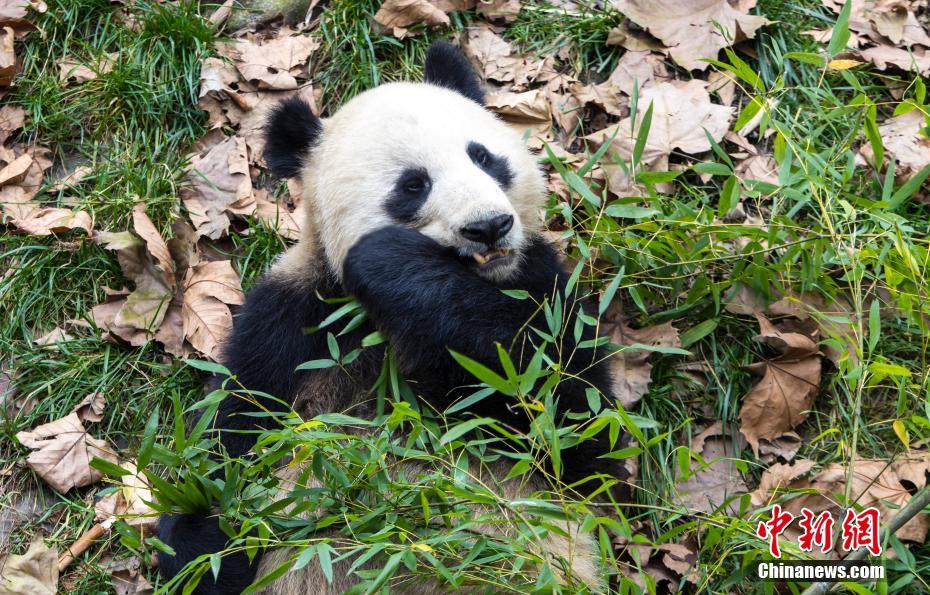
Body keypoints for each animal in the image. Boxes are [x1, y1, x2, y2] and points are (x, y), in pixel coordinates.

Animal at [160, 43, 628, 595]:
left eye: (483, 157)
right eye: (413, 185)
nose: (489, 226)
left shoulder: (543, 287)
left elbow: (578, 431)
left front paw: (390, 261)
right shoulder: (294, 317)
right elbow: (236, 428)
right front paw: (202, 538)